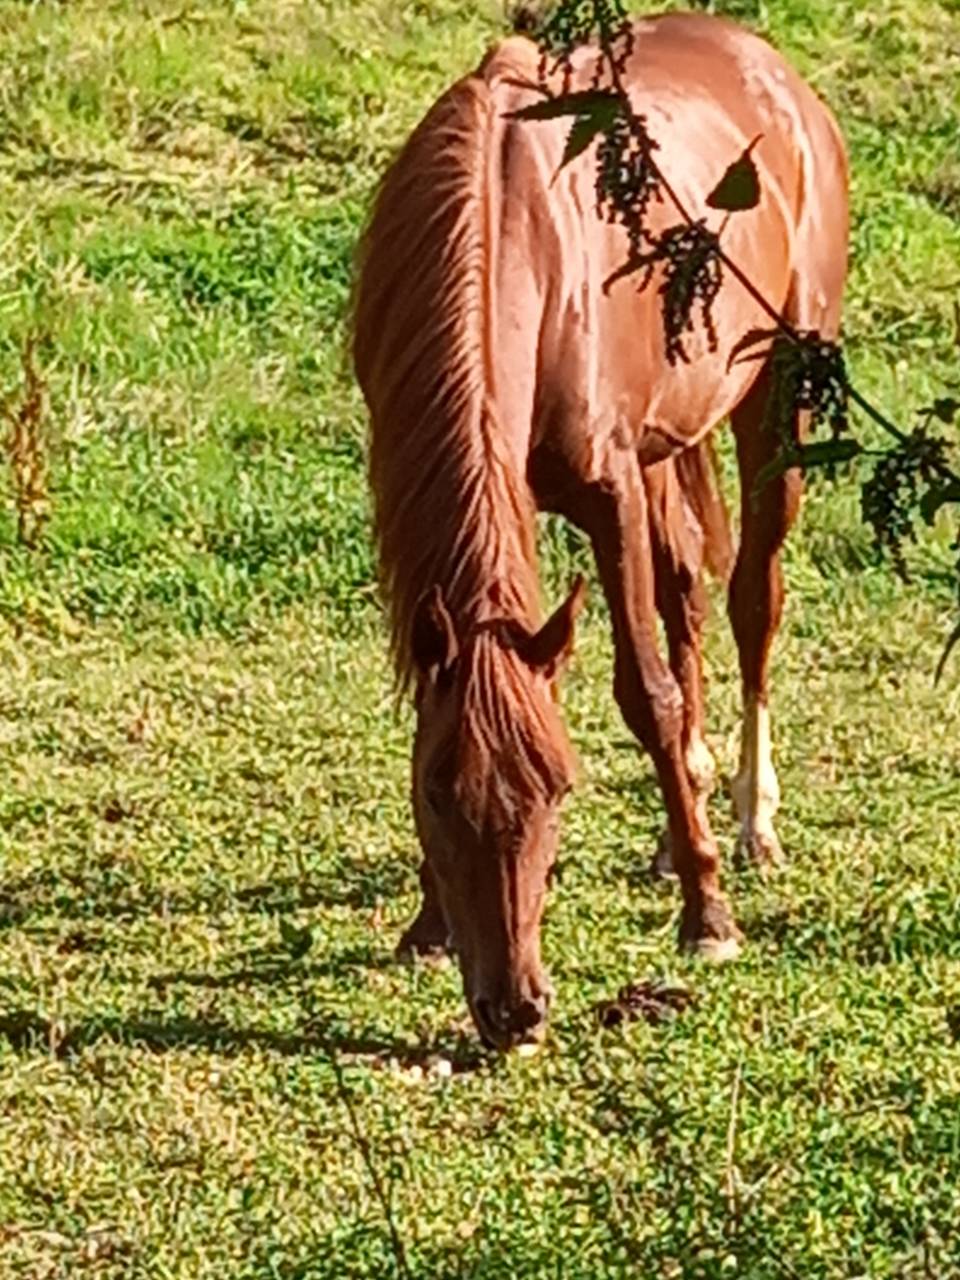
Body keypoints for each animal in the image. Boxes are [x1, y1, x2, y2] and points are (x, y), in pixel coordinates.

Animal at [352, 11, 848, 1050]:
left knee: (752, 600)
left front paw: (709, 916)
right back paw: (680, 822)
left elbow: (645, 694)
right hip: (669, 441)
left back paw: (749, 821)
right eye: (435, 795)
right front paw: (427, 923)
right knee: (687, 591)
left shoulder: (609, 492)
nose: (514, 1010)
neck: (511, 240)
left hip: (777, 402)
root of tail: (772, 71)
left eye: (559, 789)